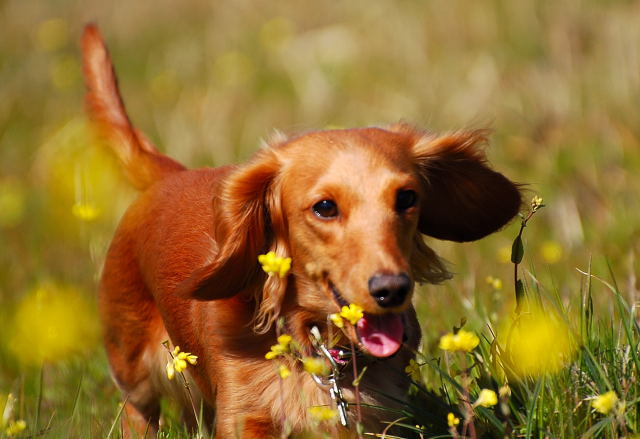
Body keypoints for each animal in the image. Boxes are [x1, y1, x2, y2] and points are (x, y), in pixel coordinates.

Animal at [81, 24, 520, 439]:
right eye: (325, 207)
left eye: (407, 198)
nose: (392, 290)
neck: (316, 350)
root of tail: (170, 175)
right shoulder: (243, 416)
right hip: (135, 372)